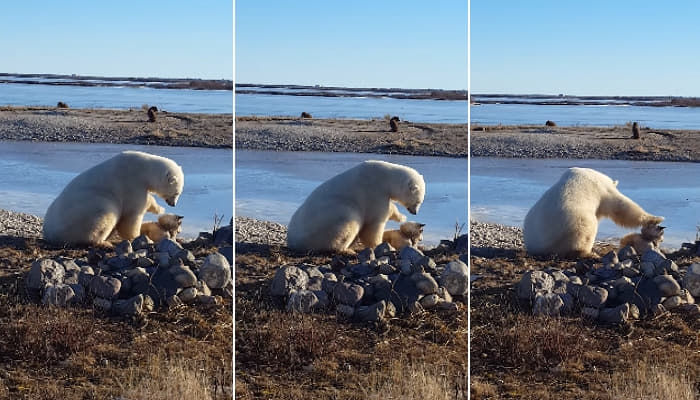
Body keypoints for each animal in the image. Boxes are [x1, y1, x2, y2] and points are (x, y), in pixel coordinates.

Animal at [42, 151, 185, 247]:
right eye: (177, 192)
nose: (173, 204)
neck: (144, 168)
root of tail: (50, 234)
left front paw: (158, 208)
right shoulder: (132, 182)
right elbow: (133, 213)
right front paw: (137, 236)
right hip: (87, 209)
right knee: (105, 213)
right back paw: (104, 242)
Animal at [286, 160, 426, 252]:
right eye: (418, 202)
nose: (415, 212)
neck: (385, 177)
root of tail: (293, 241)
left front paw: (400, 217)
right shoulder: (374, 191)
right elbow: (375, 222)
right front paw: (380, 244)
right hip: (330, 219)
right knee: (349, 220)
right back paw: (346, 249)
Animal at [524, 167, 664, 258]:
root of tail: (540, 246)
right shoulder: (602, 189)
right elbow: (621, 206)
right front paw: (656, 218)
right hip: (574, 220)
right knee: (586, 229)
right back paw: (589, 253)